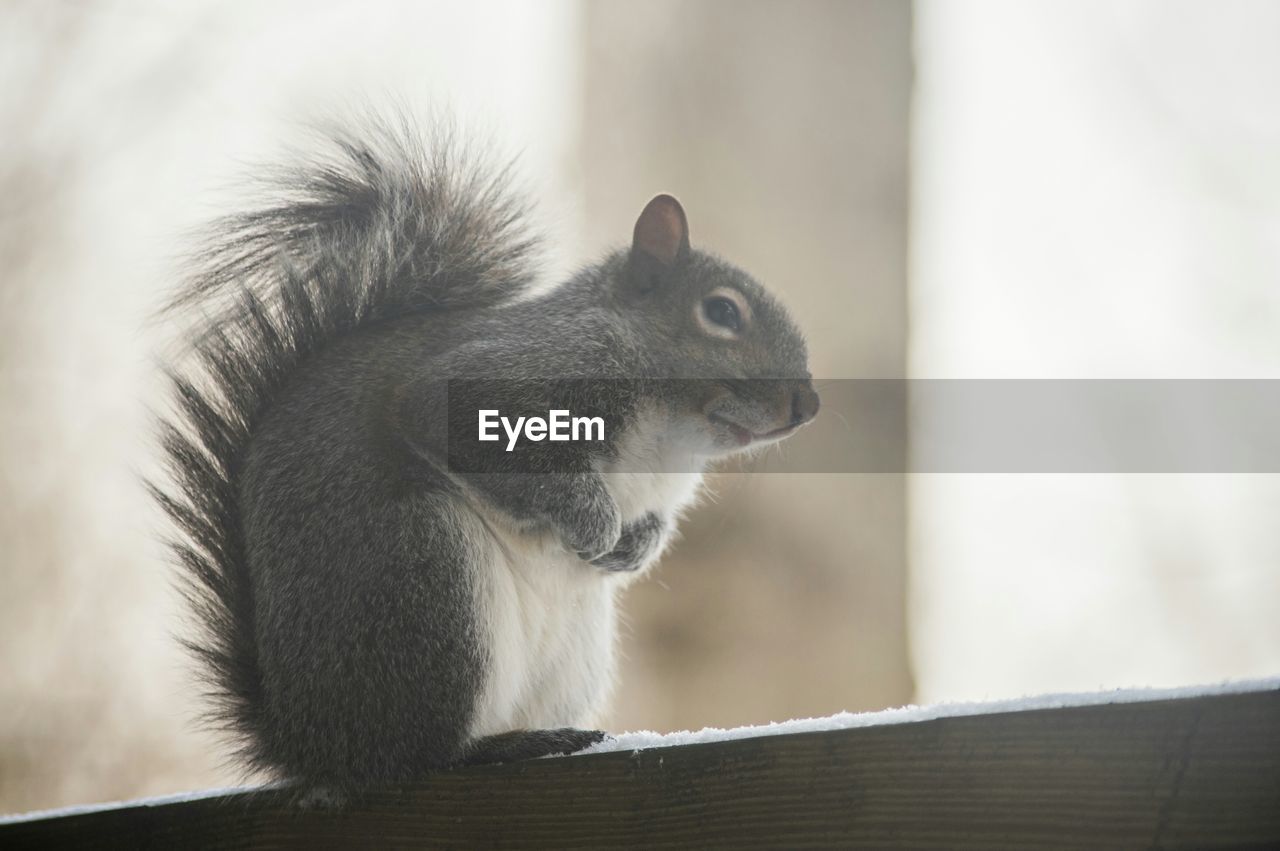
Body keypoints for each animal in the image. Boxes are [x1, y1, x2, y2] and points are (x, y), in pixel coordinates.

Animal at [154, 116, 819, 793]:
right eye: (721, 311)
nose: (808, 405)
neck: (672, 436)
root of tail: (317, 750)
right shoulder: (516, 379)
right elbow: (472, 436)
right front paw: (592, 522)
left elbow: (654, 523)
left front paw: (633, 547)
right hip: (422, 578)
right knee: (419, 752)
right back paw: (490, 747)